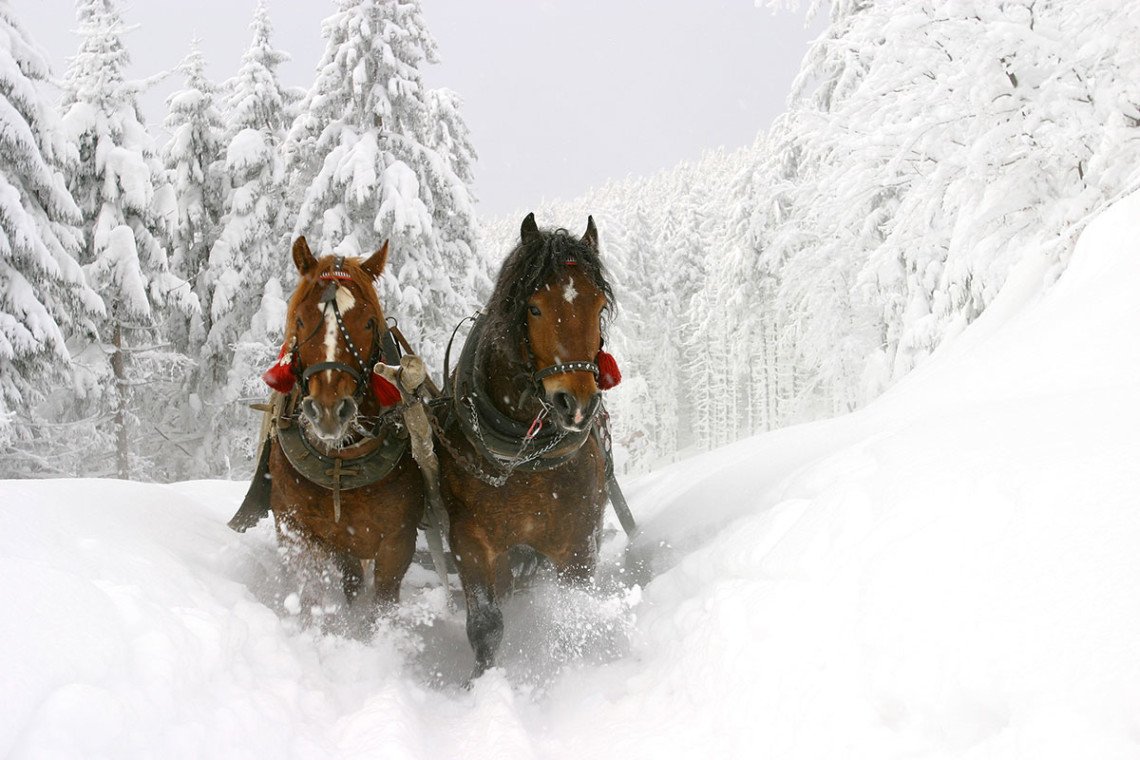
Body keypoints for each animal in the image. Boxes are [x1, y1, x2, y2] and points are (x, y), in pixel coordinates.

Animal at [257, 240, 424, 619]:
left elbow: (382, 603)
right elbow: (311, 595)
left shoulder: (398, 541)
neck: (341, 463)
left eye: (369, 322)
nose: (329, 411)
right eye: (301, 319)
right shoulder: (296, 530)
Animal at [437, 213, 620, 679]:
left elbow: (574, 616)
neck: (524, 458)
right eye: (534, 307)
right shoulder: (469, 540)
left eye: (599, 307)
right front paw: (479, 684)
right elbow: (486, 625)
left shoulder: (578, 542)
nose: (576, 403)